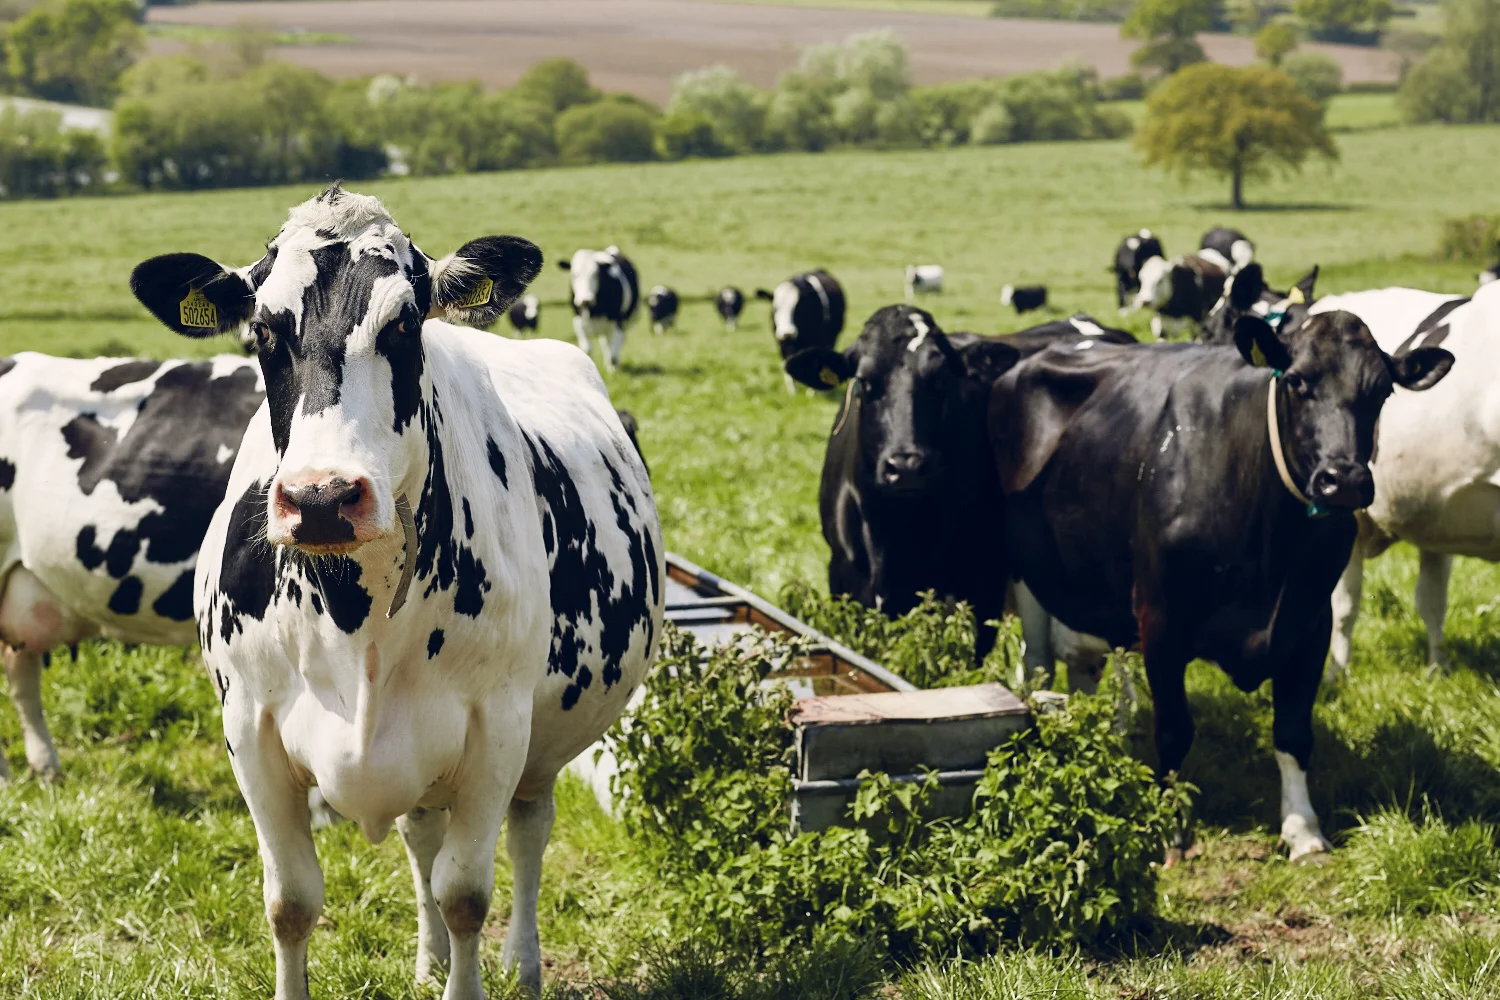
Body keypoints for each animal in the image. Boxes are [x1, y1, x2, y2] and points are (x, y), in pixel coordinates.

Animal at [129, 185, 663, 999]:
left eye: (405, 323)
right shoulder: (249, 729)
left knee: (528, 832)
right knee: (421, 834)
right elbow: (290, 902)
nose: (321, 498)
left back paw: (524, 964)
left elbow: (467, 893)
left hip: (541, 745)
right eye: (261, 329)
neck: (359, 620)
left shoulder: (496, 729)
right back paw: (429, 957)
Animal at [783, 307, 1133, 664]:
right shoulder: (845, 585)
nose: (906, 467)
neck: (895, 535)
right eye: (865, 382)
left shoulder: (981, 590)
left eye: (941, 381)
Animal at [989, 311, 1453, 859]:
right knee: (1037, 662)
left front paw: (1302, 828)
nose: (1343, 480)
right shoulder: (1160, 620)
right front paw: (1170, 828)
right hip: (1024, 569)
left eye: (1381, 392)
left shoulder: (1310, 621)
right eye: (1297, 381)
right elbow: (1173, 730)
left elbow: (1293, 731)